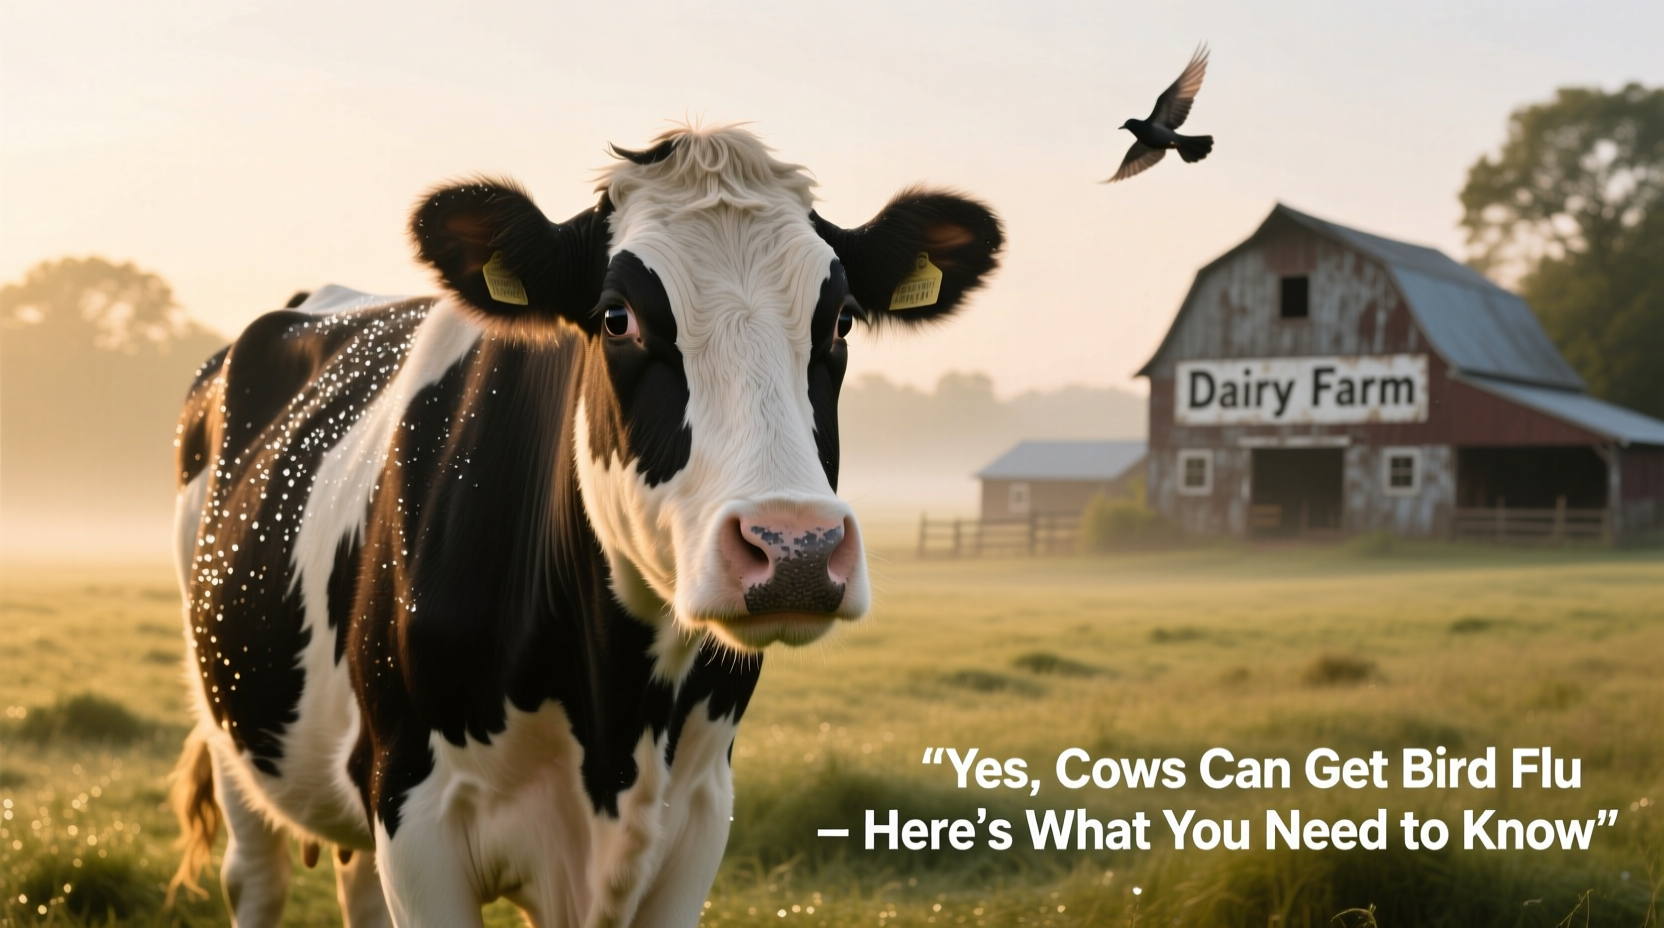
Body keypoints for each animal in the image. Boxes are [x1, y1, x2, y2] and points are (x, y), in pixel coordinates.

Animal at [167, 123, 1001, 928]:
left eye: (842, 320)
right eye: (617, 318)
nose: (795, 547)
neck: (618, 721)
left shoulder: (699, 813)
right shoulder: (412, 809)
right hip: (234, 724)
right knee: (256, 879)